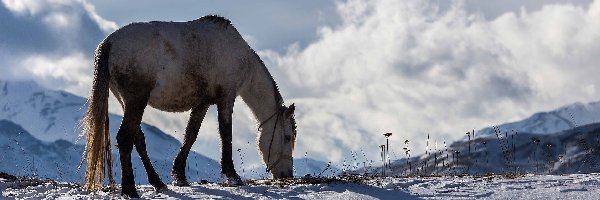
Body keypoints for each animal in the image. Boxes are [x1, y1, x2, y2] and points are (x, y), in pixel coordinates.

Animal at [82, 15, 298, 197]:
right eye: (288, 137)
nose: (287, 174)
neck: (239, 54)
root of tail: (110, 42)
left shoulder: (203, 103)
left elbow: (191, 135)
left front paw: (179, 175)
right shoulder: (226, 98)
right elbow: (225, 134)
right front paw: (232, 175)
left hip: (126, 102)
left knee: (138, 139)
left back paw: (157, 182)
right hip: (136, 102)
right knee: (125, 138)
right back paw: (130, 190)